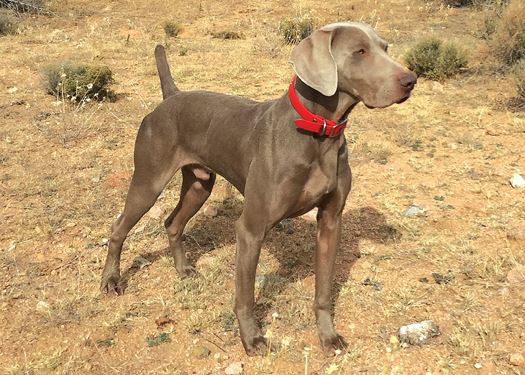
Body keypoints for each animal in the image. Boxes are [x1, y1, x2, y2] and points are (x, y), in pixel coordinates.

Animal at [100, 22, 416, 356]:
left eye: (385, 48)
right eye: (360, 52)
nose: (411, 80)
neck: (319, 133)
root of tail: (170, 97)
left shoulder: (331, 222)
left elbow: (323, 291)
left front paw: (327, 336)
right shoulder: (251, 230)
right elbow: (245, 296)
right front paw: (251, 339)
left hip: (200, 184)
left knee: (172, 223)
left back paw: (183, 269)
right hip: (149, 181)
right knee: (118, 227)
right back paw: (111, 281)